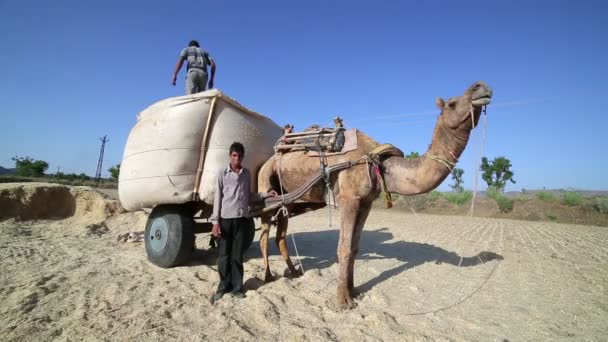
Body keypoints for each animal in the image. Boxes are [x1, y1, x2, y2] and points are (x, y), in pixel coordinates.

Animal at [256, 81, 494, 308]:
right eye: (452, 103)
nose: (481, 87)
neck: (379, 162)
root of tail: (268, 159)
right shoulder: (349, 199)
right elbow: (343, 247)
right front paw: (342, 301)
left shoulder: (366, 202)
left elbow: (354, 248)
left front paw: (354, 291)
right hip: (265, 186)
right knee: (264, 233)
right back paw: (268, 276)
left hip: (288, 200)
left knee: (280, 235)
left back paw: (294, 272)